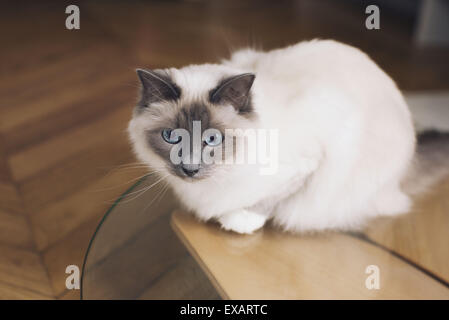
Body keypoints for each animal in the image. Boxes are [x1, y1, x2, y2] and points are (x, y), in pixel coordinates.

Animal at [127, 40, 448, 235]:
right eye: (172, 137)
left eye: (213, 140)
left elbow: (269, 200)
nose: (190, 169)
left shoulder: (308, 163)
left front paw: (240, 221)